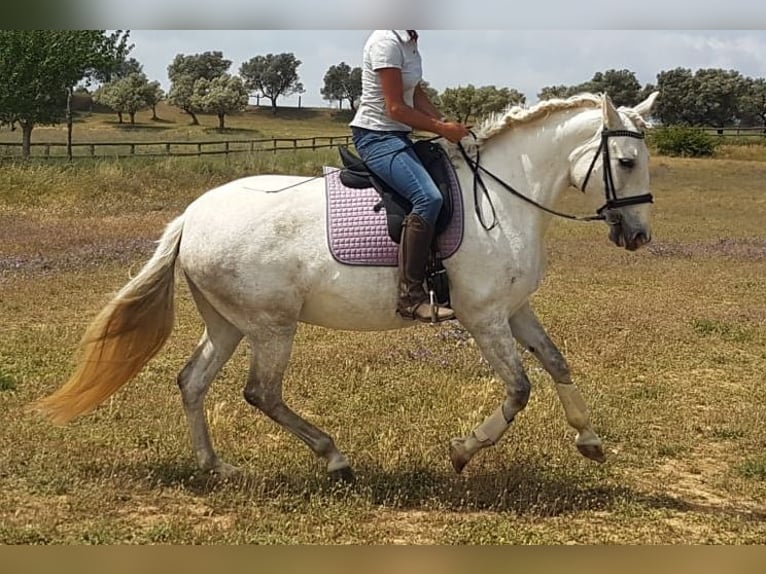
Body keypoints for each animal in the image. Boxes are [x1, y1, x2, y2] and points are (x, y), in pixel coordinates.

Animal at [33, 92, 664, 484]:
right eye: (626, 161)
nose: (638, 235)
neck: (504, 198)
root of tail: (192, 215)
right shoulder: (484, 318)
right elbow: (518, 390)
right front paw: (462, 451)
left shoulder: (514, 310)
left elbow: (556, 363)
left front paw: (589, 439)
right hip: (271, 326)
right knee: (261, 394)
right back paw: (334, 459)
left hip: (229, 324)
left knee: (192, 382)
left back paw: (217, 468)